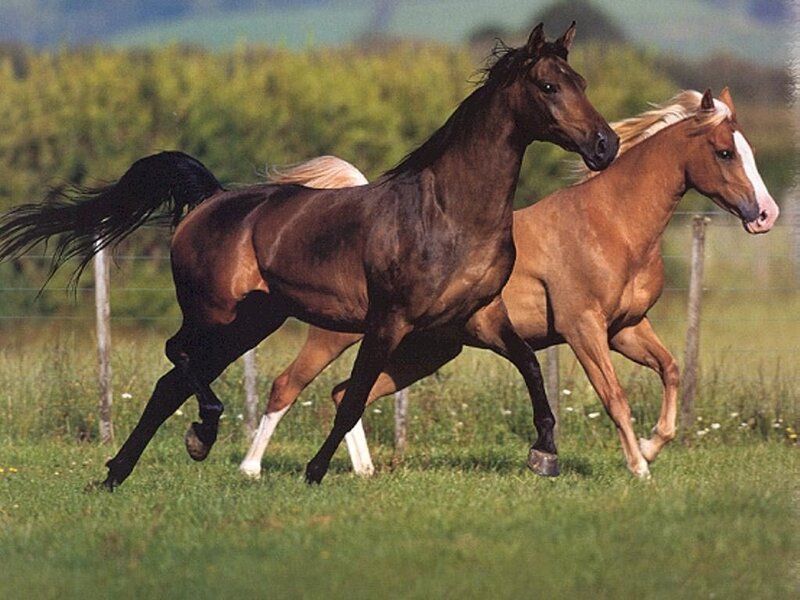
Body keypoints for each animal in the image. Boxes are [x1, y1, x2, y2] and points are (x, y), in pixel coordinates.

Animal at [0, 23, 618, 489]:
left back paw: (120, 472)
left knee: (169, 382)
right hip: (214, 312)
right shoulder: (389, 321)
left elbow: (532, 367)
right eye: (547, 85)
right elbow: (353, 398)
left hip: (253, 320)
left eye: (582, 81)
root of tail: (212, 200)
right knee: (178, 355)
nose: (605, 144)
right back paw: (200, 434)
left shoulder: (479, 316)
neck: (450, 213)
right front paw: (315, 471)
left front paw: (545, 453)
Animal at [239, 88, 779, 480]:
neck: (611, 224)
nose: (766, 215)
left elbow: (670, 370)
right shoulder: (584, 328)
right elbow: (615, 397)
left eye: (750, 151)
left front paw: (650, 445)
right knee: (288, 386)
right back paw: (251, 469)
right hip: (341, 336)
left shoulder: (625, 329)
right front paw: (638, 468)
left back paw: (365, 471)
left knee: (344, 393)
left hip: (426, 349)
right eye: (725, 152)